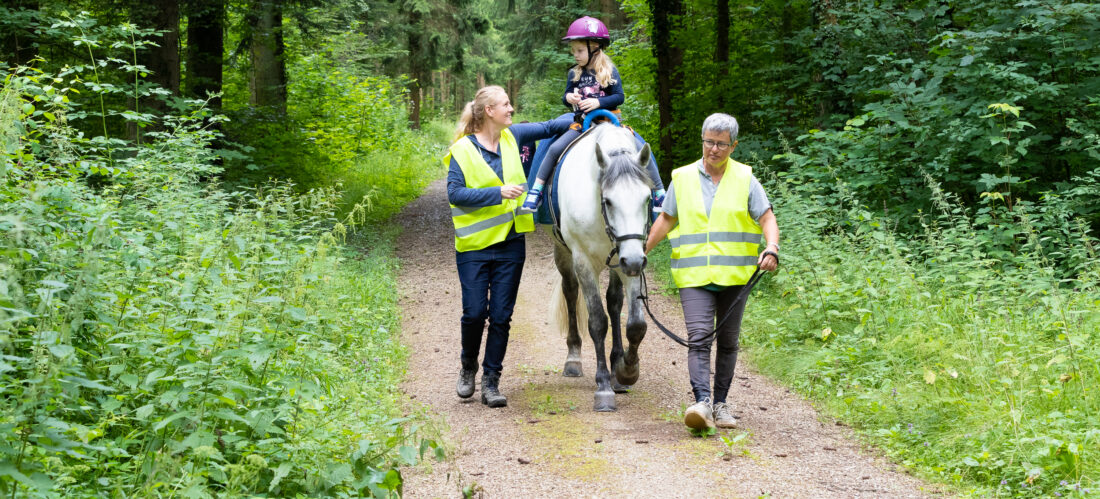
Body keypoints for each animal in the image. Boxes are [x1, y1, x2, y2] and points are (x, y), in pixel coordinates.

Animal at [550, 122, 651, 411]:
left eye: (647, 199)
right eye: (608, 201)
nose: (634, 260)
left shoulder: (631, 259)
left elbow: (635, 323)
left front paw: (626, 371)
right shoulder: (584, 261)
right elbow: (597, 321)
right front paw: (604, 385)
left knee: (615, 302)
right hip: (564, 253)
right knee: (570, 291)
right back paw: (574, 357)